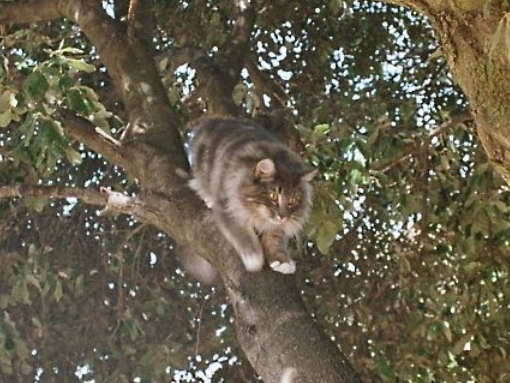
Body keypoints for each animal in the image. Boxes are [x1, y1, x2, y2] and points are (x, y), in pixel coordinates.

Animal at [187, 115, 314, 274]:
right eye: (273, 196)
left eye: (292, 200)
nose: (283, 216)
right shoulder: (228, 207)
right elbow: (244, 236)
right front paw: (254, 259)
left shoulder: (276, 229)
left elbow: (275, 242)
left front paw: (282, 261)